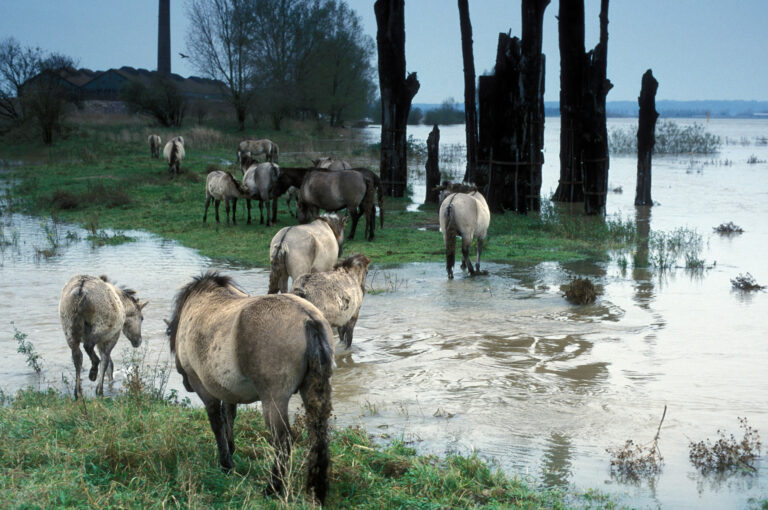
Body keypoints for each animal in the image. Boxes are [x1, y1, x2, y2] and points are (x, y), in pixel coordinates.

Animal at [166, 272, 334, 504]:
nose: (185, 384)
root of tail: (308, 319)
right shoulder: (226, 389)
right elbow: (228, 417)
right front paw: (231, 450)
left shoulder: (204, 388)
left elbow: (216, 422)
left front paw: (226, 464)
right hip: (312, 392)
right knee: (318, 437)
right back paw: (316, 491)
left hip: (273, 400)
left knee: (283, 442)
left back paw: (273, 488)